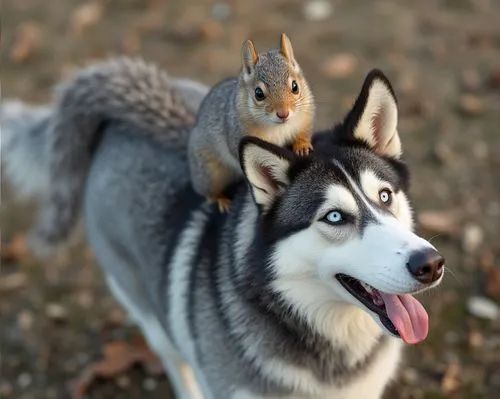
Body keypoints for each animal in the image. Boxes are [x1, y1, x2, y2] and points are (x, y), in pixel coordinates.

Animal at [188, 33, 316, 212]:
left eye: (295, 86)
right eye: (258, 93)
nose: (283, 114)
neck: (279, 127)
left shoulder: (305, 116)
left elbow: (304, 132)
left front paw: (302, 145)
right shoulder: (238, 132)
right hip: (209, 172)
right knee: (208, 193)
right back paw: (221, 199)